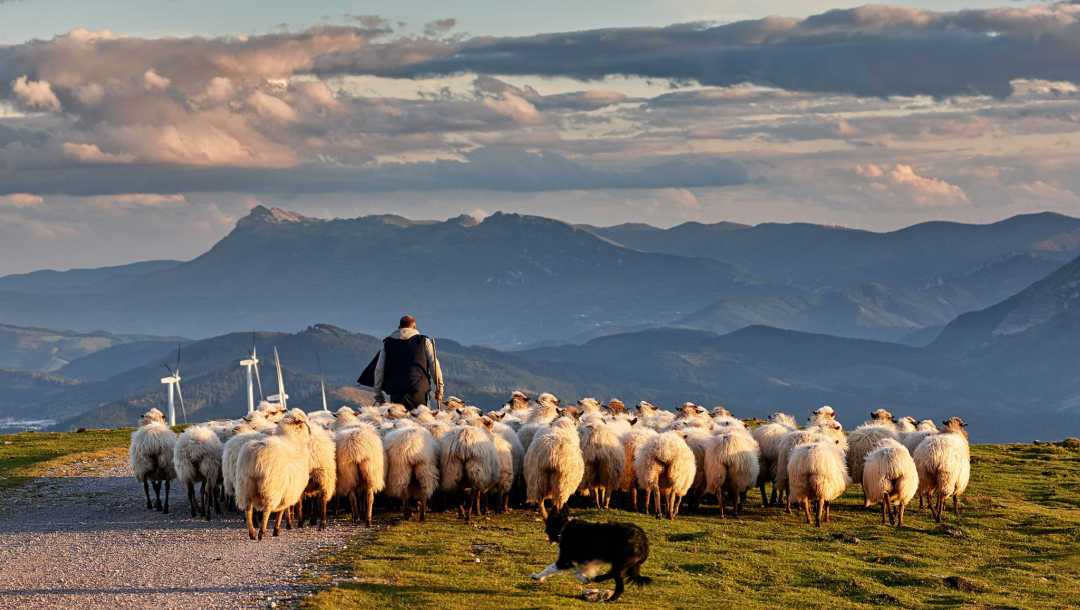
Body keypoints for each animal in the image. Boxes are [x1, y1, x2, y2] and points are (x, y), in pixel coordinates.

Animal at [234, 409, 313, 540]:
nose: (311, 432)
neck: (293, 438)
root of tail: (256, 454)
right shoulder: (287, 489)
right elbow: (282, 509)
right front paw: (279, 528)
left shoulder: (285, 489)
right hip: (271, 486)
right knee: (267, 509)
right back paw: (261, 532)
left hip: (245, 484)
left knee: (248, 509)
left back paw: (252, 533)